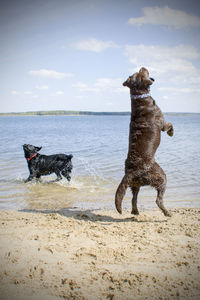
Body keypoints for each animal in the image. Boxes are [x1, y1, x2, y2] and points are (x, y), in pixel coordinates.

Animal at [115, 67, 173, 217]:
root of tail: (130, 172)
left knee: (133, 198)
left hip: (135, 185)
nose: (143, 67)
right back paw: (167, 213)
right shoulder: (162, 122)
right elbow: (169, 125)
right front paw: (171, 133)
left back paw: (135, 211)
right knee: (158, 199)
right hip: (160, 176)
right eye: (140, 73)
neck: (139, 98)